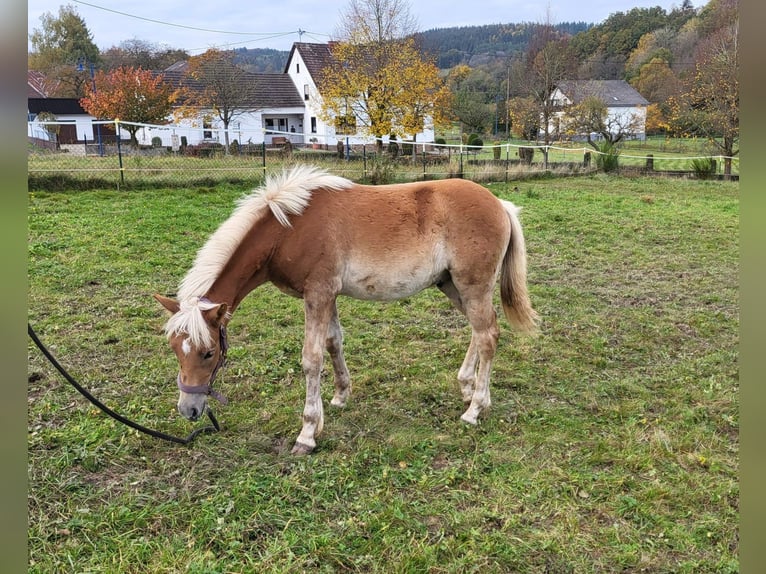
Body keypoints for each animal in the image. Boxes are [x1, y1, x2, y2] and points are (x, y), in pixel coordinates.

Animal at [154, 165, 540, 454]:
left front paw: (307, 434)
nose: (188, 410)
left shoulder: (319, 294)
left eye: (208, 353)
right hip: (451, 285)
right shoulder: (328, 296)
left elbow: (311, 359)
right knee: (480, 330)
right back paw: (466, 387)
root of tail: (500, 204)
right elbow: (333, 342)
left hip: (472, 285)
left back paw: (475, 409)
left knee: (488, 334)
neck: (288, 228)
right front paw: (340, 397)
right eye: (174, 349)